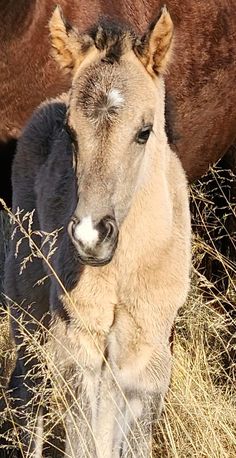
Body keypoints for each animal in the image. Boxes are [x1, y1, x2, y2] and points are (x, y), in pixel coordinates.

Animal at [5, 7, 192, 458]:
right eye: (71, 133)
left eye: (144, 131)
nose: (91, 237)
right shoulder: (79, 344)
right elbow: (85, 440)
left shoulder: (148, 355)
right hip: (27, 307)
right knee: (27, 390)